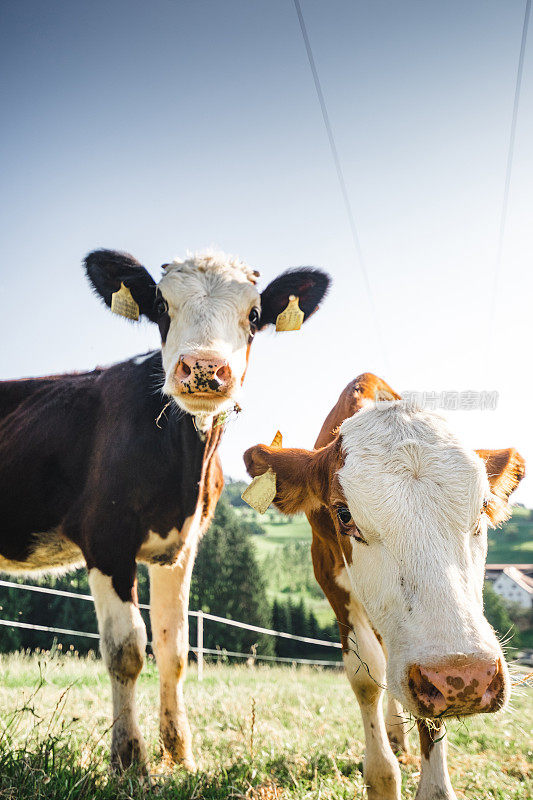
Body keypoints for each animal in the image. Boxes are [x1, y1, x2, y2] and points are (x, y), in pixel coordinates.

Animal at [0, 253, 328, 772]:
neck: (182, 462)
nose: (203, 367)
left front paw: (180, 754)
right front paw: (129, 761)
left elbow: (173, 648)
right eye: (160, 306)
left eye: (255, 313)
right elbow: (126, 650)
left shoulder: (180, 547)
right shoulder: (106, 540)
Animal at [244, 376, 524, 800]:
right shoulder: (330, 580)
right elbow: (365, 678)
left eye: (482, 509)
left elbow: (429, 720)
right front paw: (381, 776)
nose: (465, 676)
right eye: (344, 515)